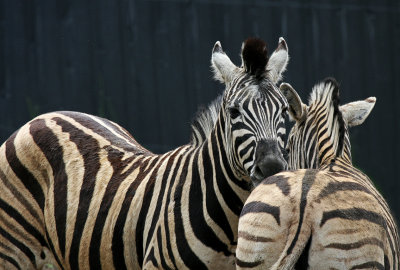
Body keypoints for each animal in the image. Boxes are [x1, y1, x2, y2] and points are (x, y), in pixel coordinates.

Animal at [0, 37, 290, 268]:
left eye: (285, 110)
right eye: (233, 112)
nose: (272, 168)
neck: (230, 227)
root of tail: (42, 117)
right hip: (13, 250)